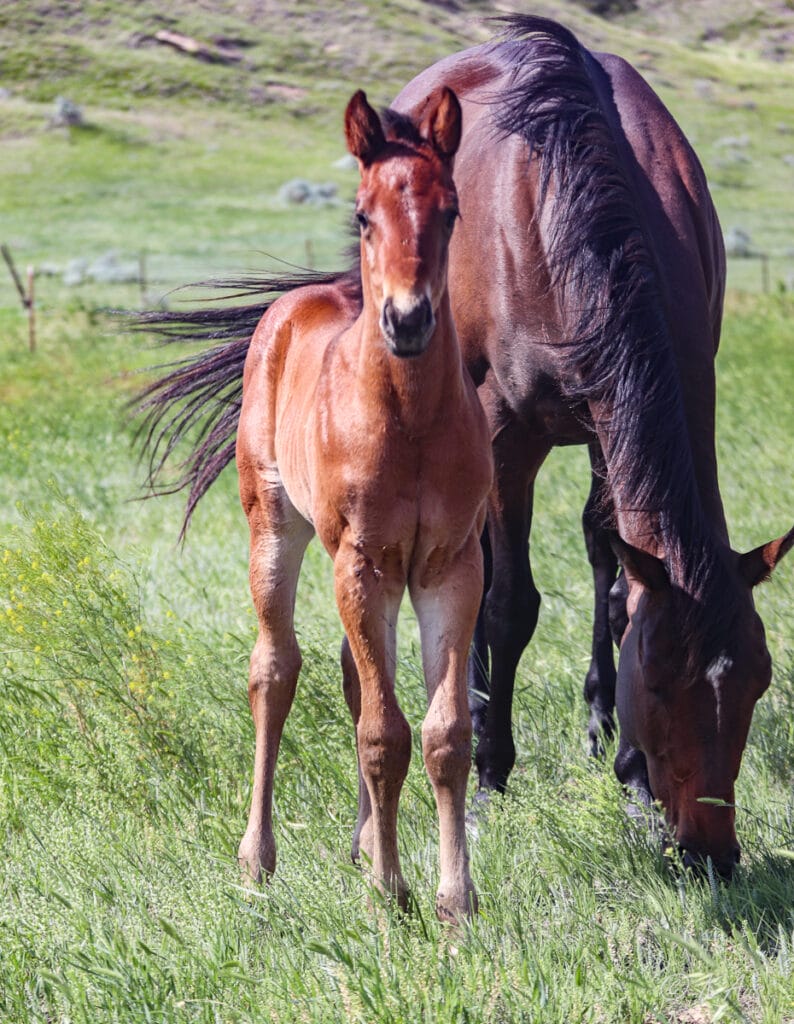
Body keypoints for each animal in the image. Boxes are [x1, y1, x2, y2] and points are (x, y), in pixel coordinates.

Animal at [139, 16, 790, 876]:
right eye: (658, 684)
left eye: (757, 682)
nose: (712, 853)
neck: (574, 217)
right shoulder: (506, 439)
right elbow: (510, 607)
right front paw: (488, 782)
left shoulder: (628, 414)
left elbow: (620, 589)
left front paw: (628, 779)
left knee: (594, 550)